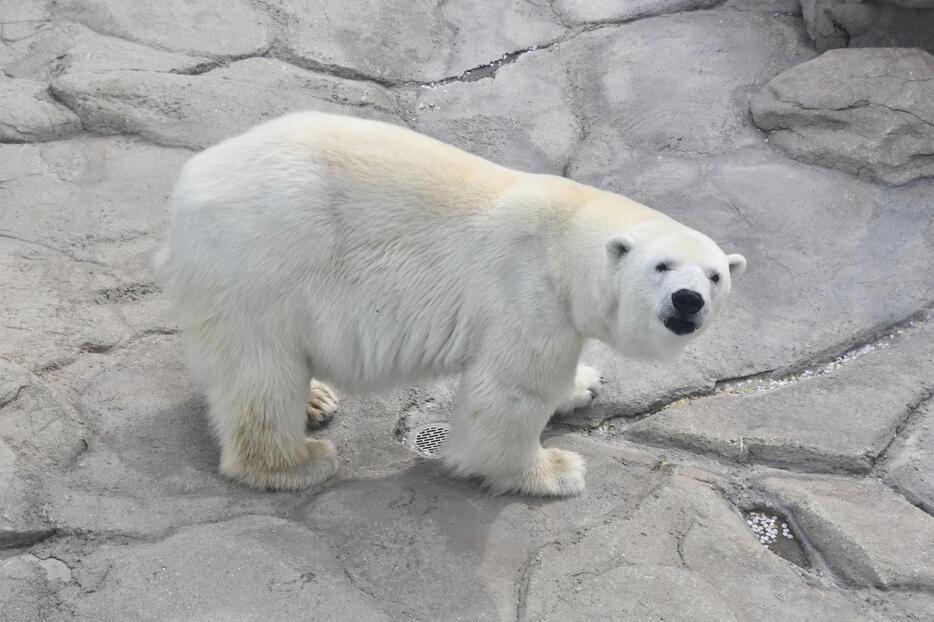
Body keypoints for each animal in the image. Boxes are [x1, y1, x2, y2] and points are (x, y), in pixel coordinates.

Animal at [157, 112, 748, 500]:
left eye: (715, 276)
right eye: (662, 266)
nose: (688, 300)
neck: (567, 237)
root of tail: (187, 187)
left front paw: (583, 384)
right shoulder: (527, 292)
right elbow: (511, 392)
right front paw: (556, 470)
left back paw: (316, 401)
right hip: (261, 266)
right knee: (260, 372)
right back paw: (300, 460)